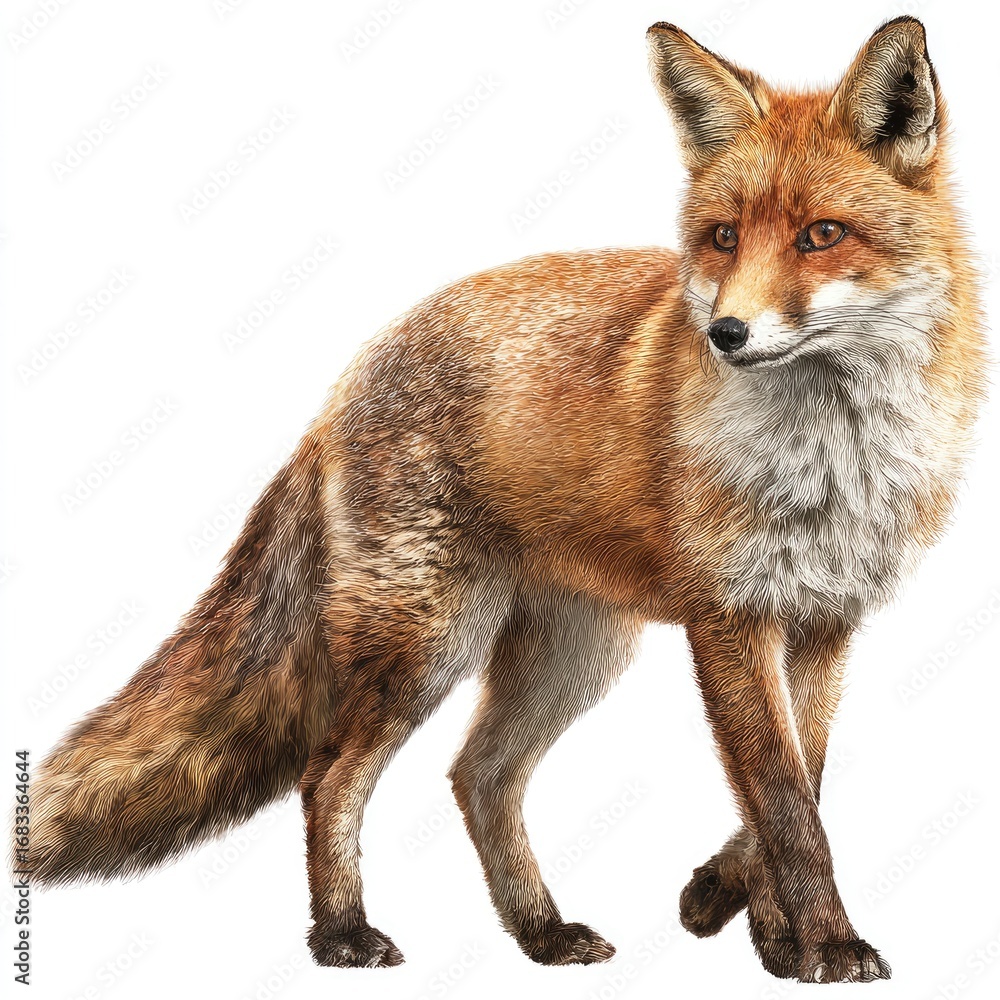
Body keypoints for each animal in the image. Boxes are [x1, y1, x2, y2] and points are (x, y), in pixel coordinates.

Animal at [19, 16, 987, 985]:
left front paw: (756, 924)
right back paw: (343, 934)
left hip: (574, 655)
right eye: (722, 237)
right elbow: (786, 803)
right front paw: (828, 942)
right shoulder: (730, 617)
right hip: (427, 643)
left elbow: (801, 783)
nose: (725, 333)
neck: (831, 459)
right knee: (328, 776)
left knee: (479, 776)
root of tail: (347, 380)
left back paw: (539, 932)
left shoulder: (825, 619)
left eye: (822, 234)